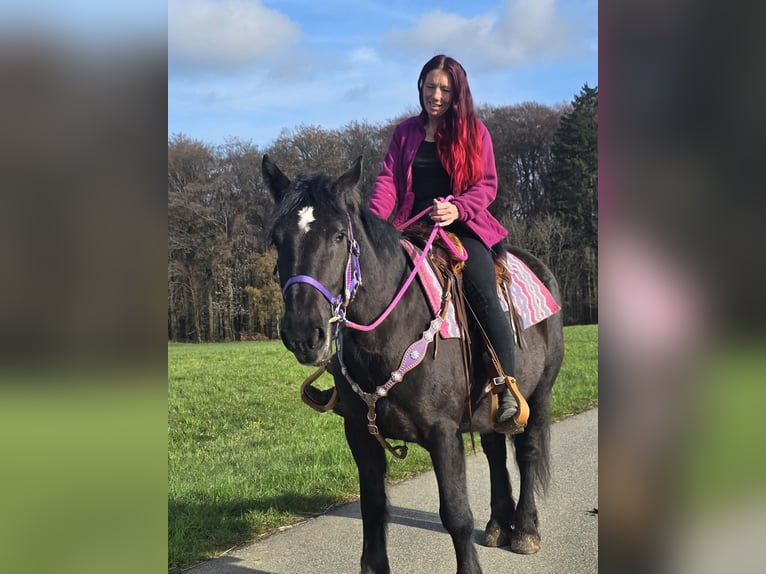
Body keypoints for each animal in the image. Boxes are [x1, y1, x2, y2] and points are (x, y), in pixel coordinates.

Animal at [262, 155, 564, 574]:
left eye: (338, 236)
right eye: (277, 238)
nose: (304, 334)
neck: (392, 330)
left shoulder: (443, 433)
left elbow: (456, 513)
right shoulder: (359, 433)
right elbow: (373, 510)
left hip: (540, 395)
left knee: (528, 452)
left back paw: (525, 531)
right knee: (495, 452)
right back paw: (498, 525)